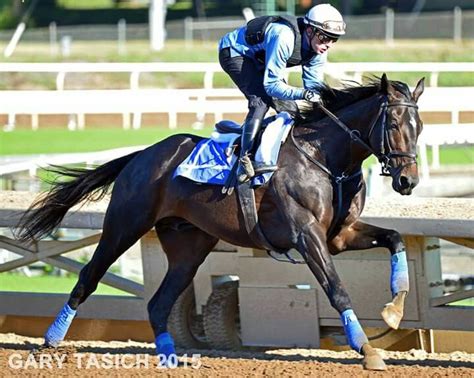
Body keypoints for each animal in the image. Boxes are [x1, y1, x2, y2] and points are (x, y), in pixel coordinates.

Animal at [17, 74, 426, 370]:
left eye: (419, 126)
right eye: (393, 124)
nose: (408, 181)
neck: (326, 159)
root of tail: (142, 155)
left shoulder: (339, 235)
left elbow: (395, 238)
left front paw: (393, 310)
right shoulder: (306, 235)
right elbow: (337, 289)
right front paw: (366, 349)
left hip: (189, 247)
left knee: (159, 303)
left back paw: (170, 359)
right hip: (124, 225)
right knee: (89, 278)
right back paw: (49, 343)